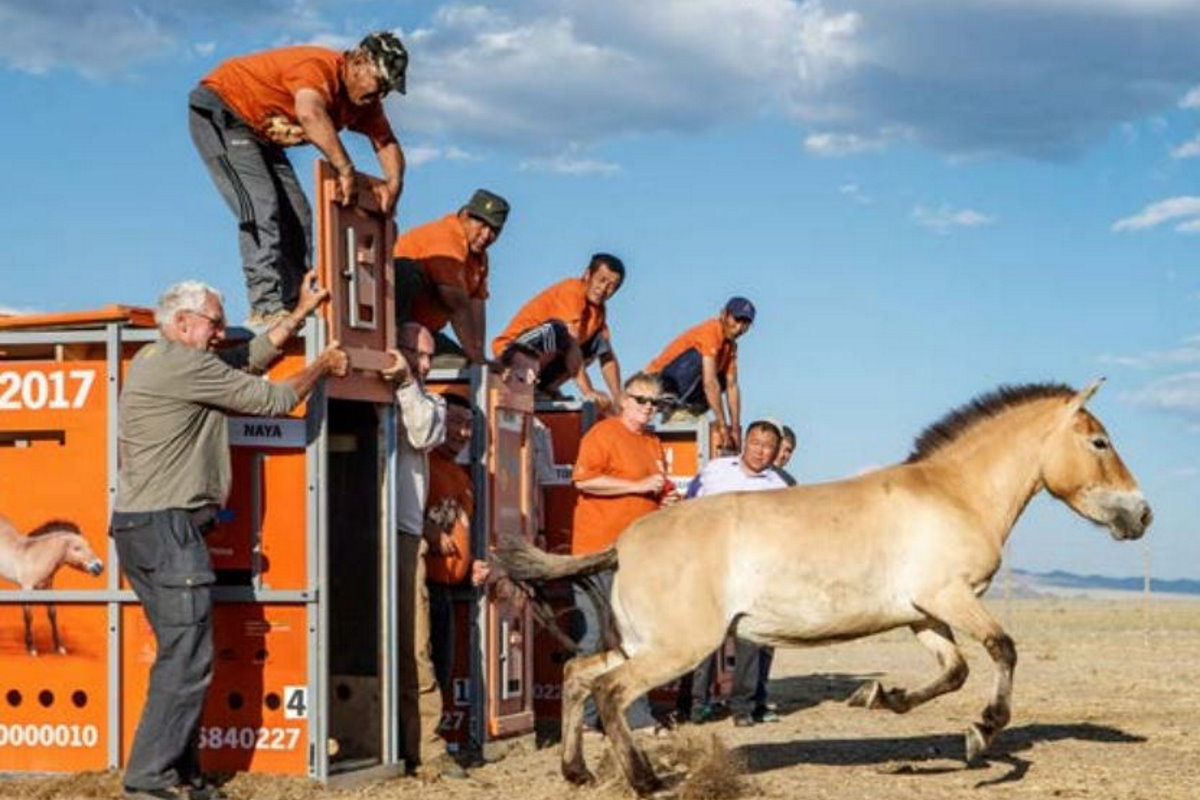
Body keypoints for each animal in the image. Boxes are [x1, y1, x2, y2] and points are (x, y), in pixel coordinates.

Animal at [0, 513, 103, 657]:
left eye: (89, 545)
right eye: (76, 548)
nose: (99, 567)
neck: (37, 557)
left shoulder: (47, 587)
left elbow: (52, 613)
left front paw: (59, 647)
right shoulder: (26, 588)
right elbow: (28, 616)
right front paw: (31, 648)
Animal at [496, 381, 1152, 796]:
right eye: (1099, 442)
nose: (1141, 515)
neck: (953, 494)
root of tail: (626, 542)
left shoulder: (924, 614)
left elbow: (954, 671)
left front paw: (882, 698)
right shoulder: (952, 598)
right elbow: (1002, 651)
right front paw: (981, 733)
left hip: (640, 642)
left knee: (579, 675)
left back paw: (578, 773)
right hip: (677, 649)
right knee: (610, 692)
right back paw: (646, 781)